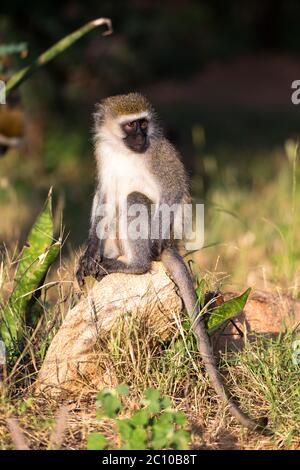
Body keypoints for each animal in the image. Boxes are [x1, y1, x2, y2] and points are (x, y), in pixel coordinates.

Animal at [76, 92, 268, 434]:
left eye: (143, 124)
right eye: (131, 126)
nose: (141, 138)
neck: (124, 151)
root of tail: (172, 244)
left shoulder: (159, 154)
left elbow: (172, 190)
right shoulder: (104, 155)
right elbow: (103, 198)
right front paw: (89, 254)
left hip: (162, 237)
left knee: (135, 201)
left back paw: (135, 264)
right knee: (116, 205)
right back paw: (104, 264)